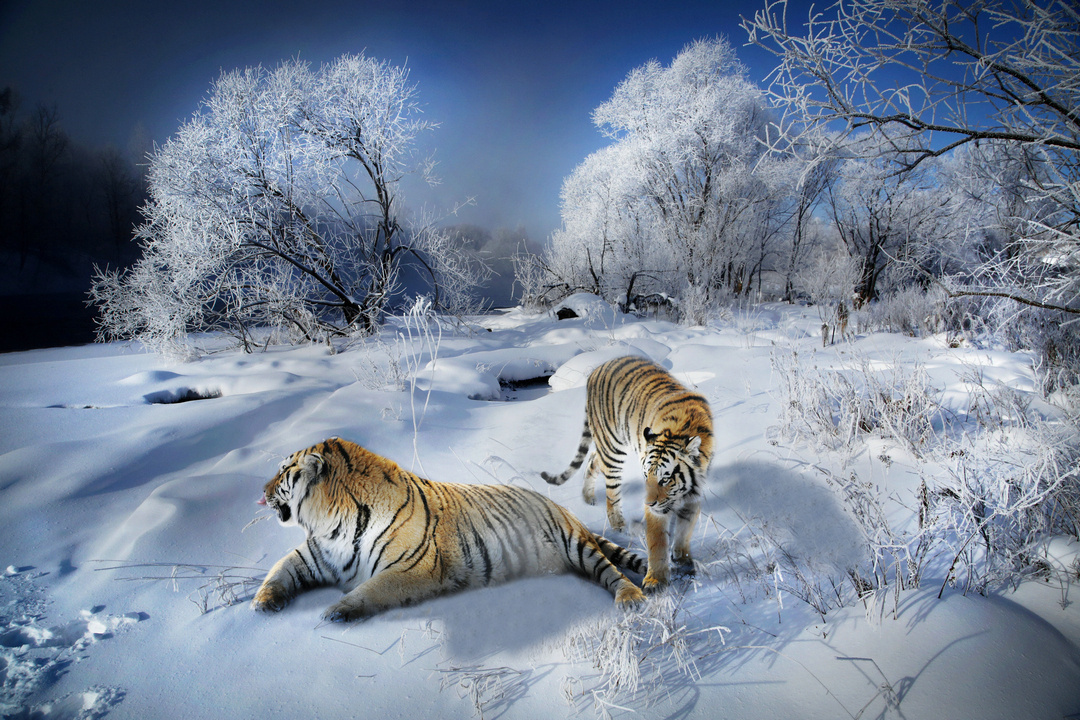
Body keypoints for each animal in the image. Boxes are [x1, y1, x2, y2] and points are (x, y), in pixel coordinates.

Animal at [252, 436, 643, 621]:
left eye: (284, 471)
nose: (261, 491)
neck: (332, 525)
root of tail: (564, 508)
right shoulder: (313, 554)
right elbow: (279, 569)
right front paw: (262, 602)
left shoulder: (414, 567)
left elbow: (372, 587)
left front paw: (336, 611)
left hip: (578, 545)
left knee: (612, 572)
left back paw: (631, 599)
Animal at [544, 354, 712, 591]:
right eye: (646, 476)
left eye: (666, 478)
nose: (648, 503)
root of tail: (597, 370)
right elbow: (657, 540)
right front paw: (655, 580)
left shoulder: (693, 494)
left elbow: (684, 532)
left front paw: (683, 560)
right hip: (612, 447)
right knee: (611, 490)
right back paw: (618, 525)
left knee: (593, 460)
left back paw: (588, 498)